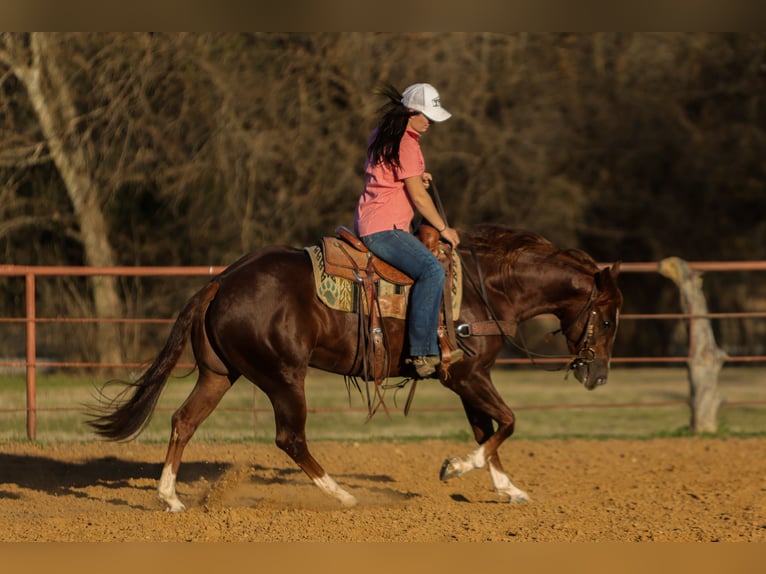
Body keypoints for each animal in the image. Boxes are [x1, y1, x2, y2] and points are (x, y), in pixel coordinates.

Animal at [88, 223, 622, 511]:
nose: (596, 376)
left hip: (220, 374)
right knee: (290, 438)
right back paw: (343, 496)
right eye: (608, 316)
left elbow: (486, 430)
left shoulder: (469, 379)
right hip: (284, 376)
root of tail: (222, 281)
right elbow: (506, 423)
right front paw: (454, 468)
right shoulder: (468, 376)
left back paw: (170, 497)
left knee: (184, 421)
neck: (486, 288)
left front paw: (508, 489)